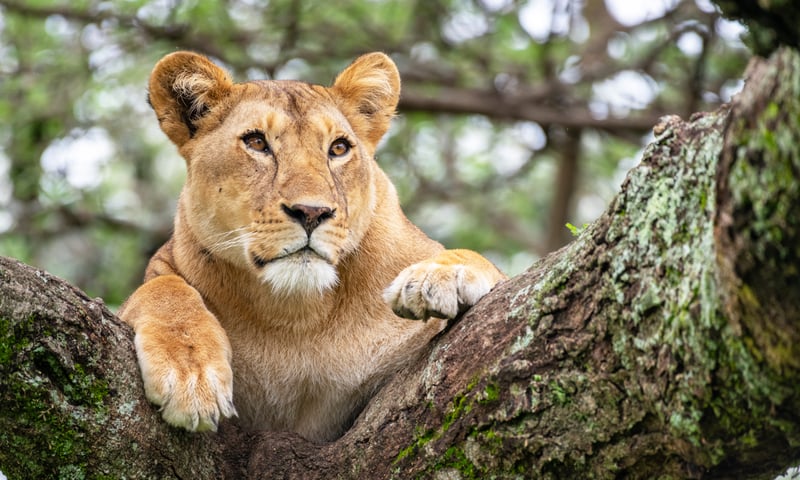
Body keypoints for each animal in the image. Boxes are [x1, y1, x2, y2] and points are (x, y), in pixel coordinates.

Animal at [118, 50, 506, 442]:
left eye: (338, 148)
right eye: (256, 142)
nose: (312, 212)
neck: (299, 314)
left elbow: (488, 267)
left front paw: (436, 276)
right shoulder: (161, 274)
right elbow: (162, 289)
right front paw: (190, 374)